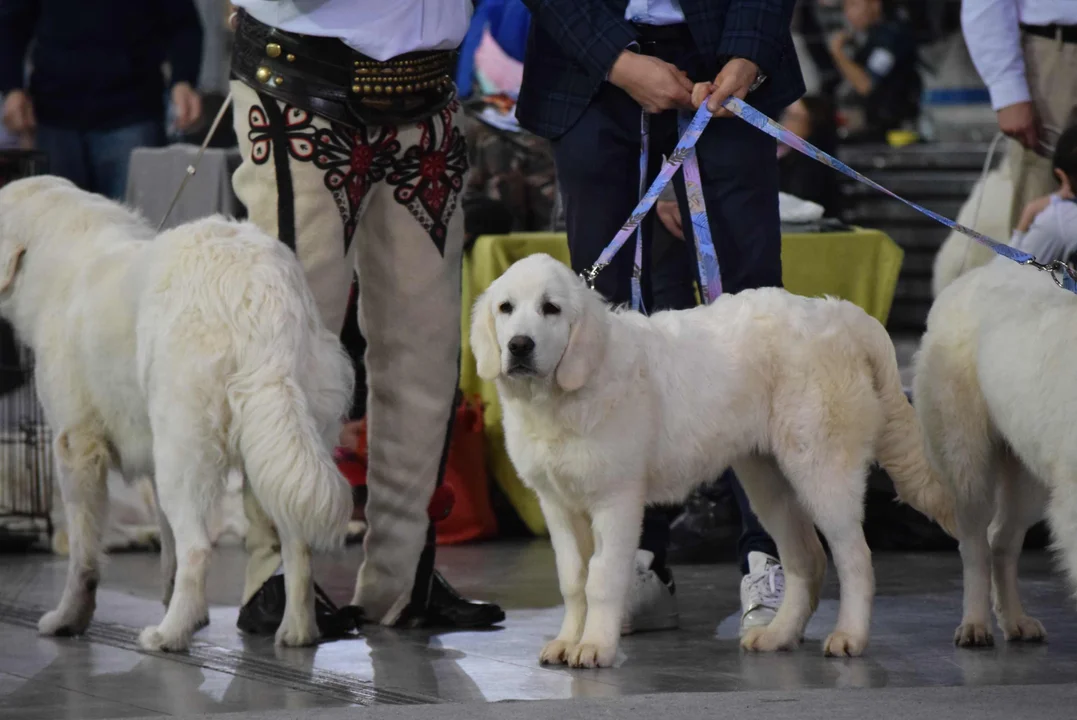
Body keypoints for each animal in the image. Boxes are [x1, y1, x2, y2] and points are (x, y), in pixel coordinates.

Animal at [0, 175, 355, 650]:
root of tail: (258, 286)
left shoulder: (75, 447)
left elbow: (83, 556)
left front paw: (68, 619)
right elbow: (167, 546)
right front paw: (181, 603)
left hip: (184, 450)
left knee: (199, 547)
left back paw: (168, 635)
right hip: (279, 439)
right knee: (296, 543)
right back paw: (296, 632)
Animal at [467, 253, 956, 667]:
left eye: (550, 309)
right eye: (506, 308)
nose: (519, 345)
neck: (561, 397)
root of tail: (840, 315)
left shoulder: (617, 500)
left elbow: (602, 579)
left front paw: (595, 647)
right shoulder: (557, 505)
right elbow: (573, 581)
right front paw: (568, 641)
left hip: (822, 470)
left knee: (855, 559)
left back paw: (850, 636)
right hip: (769, 481)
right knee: (807, 558)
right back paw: (778, 634)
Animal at [913, 257, 1072, 645]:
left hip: (1028, 474)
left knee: (1002, 541)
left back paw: (1015, 619)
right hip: (967, 461)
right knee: (975, 545)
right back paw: (975, 624)